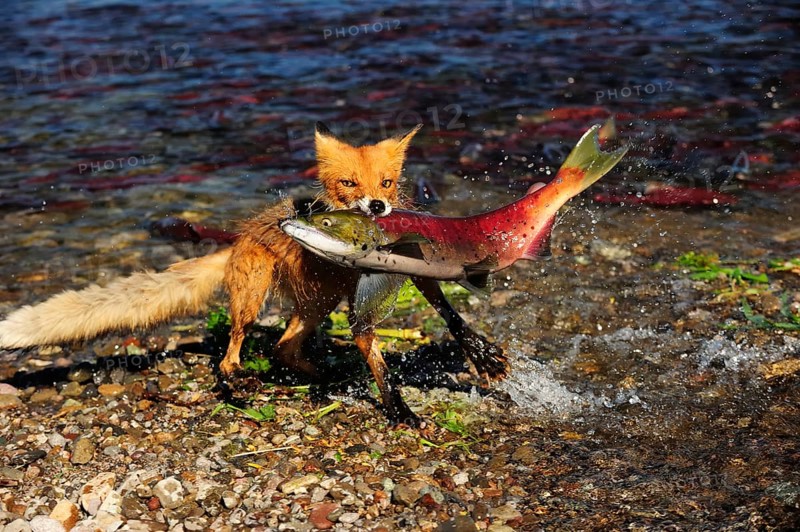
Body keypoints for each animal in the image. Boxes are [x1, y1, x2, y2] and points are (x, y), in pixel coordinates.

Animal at [0, 122, 507, 424]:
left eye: (385, 182)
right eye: (348, 184)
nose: (378, 207)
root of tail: (239, 237)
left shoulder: (412, 269)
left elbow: (450, 315)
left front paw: (481, 355)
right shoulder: (361, 310)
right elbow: (380, 366)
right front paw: (397, 409)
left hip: (317, 305)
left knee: (283, 347)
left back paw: (319, 376)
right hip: (257, 298)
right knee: (232, 355)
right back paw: (242, 384)